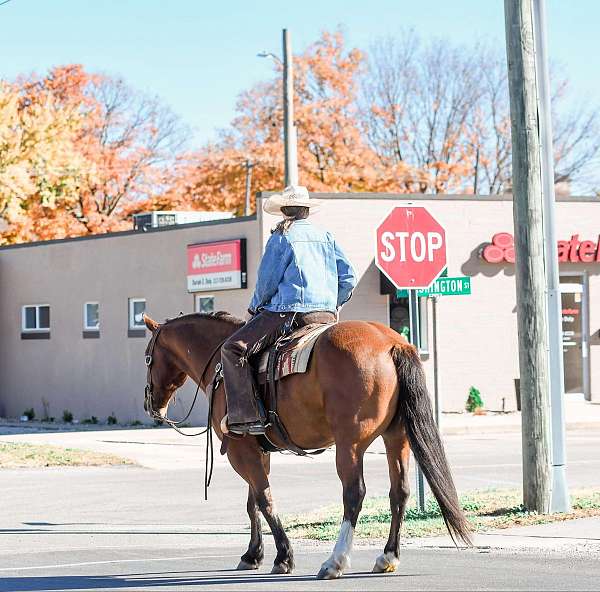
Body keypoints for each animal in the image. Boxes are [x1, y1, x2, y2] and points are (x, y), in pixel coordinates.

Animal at [143, 312, 472, 580]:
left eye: (148, 357)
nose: (150, 404)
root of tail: (391, 343)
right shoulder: (257, 451)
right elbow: (252, 504)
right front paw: (253, 554)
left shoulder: (241, 451)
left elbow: (264, 500)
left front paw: (283, 557)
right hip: (396, 437)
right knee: (399, 492)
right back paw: (388, 557)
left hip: (350, 443)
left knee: (354, 494)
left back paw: (335, 562)